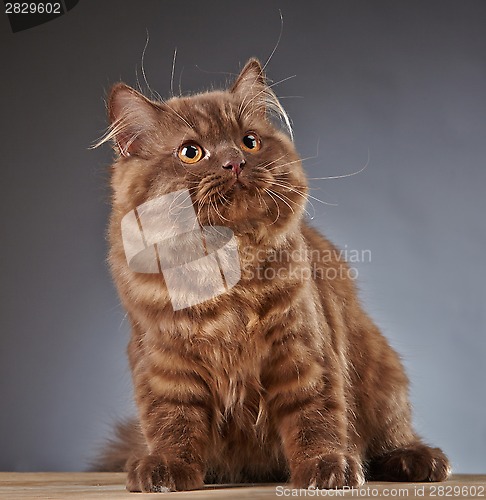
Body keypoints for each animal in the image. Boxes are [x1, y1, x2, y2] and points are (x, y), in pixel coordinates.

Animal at [97, 59, 450, 492]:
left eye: (249, 142)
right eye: (191, 152)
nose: (235, 162)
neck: (225, 265)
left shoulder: (302, 348)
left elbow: (314, 415)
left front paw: (326, 467)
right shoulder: (167, 363)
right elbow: (173, 422)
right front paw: (166, 469)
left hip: (383, 374)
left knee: (391, 436)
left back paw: (418, 460)